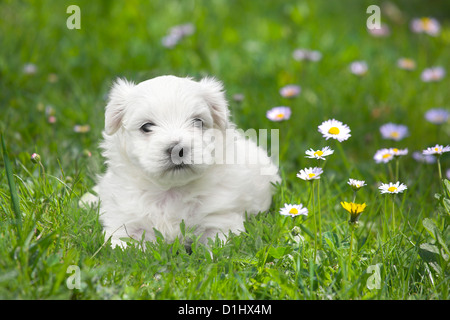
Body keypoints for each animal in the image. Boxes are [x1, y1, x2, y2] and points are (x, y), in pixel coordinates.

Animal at [95, 75, 280, 248]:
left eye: (197, 121)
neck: (171, 190)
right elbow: (123, 249)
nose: (177, 149)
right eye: (146, 126)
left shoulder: (220, 220)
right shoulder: (126, 225)